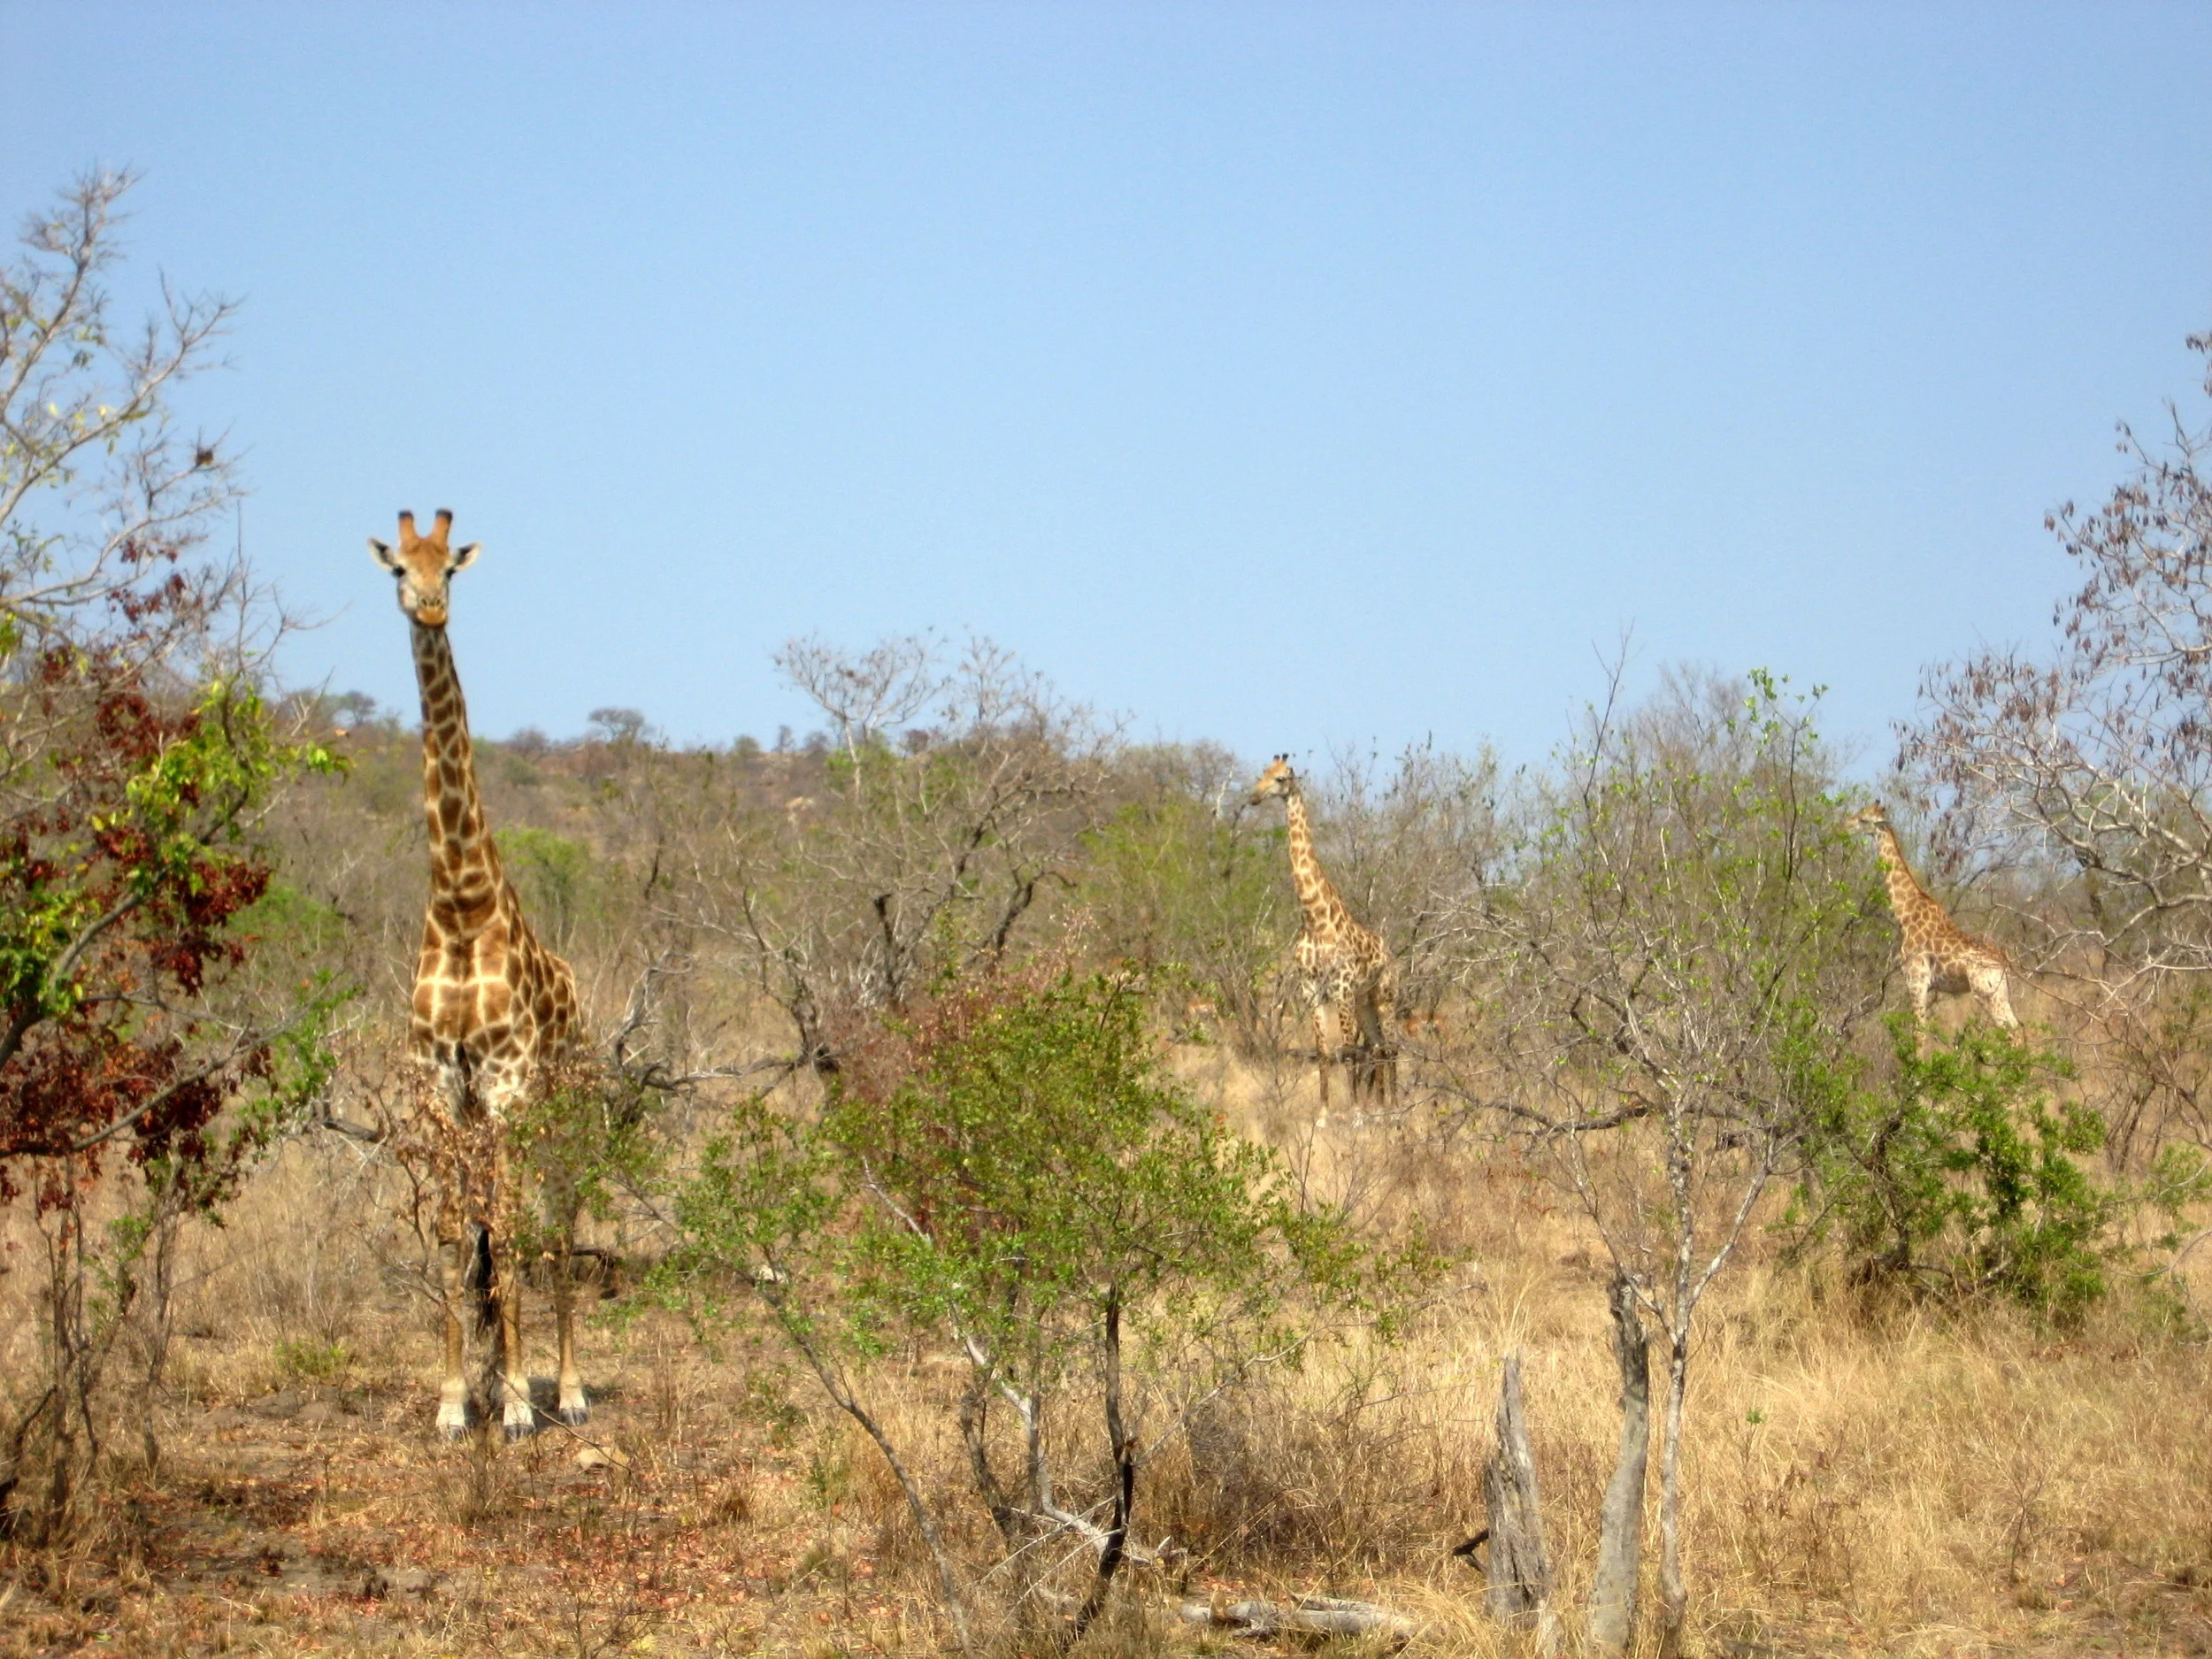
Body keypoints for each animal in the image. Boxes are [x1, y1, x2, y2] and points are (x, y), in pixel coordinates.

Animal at [1249, 755, 1398, 1126]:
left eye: (1282, 778)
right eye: (1262, 774)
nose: (1253, 798)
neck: (1315, 919)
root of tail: (1391, 952)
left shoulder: (1341, 990)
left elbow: (1346, 1051)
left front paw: (1355, 1113)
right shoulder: (1311, 991)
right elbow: (1323, 1051)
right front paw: (1324, 1114)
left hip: (1385, 996)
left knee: (1392, 1046)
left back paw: (1394, 1109)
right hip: (1364, 1001)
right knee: (1376, 1045)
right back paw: (1381, 1110)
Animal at [1846, 800, 2019, 1031]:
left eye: (1864, 819)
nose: (1845, 825)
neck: (1906, 913)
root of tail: (2003, 967)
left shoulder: (1916, 980)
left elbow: (1920, 1033)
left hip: (1986, 993)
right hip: (2000, 993)